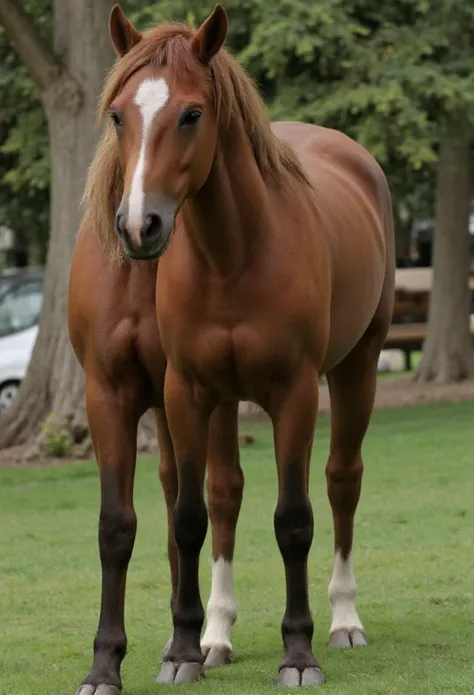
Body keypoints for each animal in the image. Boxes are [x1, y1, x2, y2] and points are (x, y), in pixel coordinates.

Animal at [79, 0, 394, 688]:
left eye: (192, 114)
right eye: (118, 116)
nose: (138, 225)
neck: (233, 255)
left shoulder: (295, 394)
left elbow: (294, 519)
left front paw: (298, 654)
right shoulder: (188, 393)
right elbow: (189, 517)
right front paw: (182, 653)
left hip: (358, 367)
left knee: (342, 482)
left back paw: (344, 621)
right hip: (223, 402)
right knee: (224, 497)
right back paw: (216, 636)